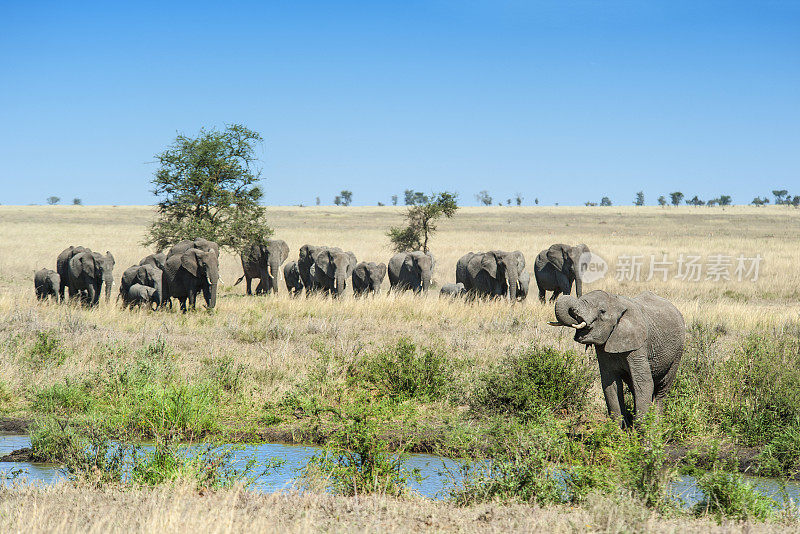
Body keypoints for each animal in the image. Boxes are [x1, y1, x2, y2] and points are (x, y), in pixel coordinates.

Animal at [552, 292, 688, 430]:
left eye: (602, 311)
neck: (617, 303)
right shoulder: (603, 350)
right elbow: (610, 384)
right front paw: (619, 430)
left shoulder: (638, 345)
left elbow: (643, 382)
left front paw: (641, 430)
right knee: (634, 388)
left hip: (677, 353)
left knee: (662, 388)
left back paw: (656, 426)